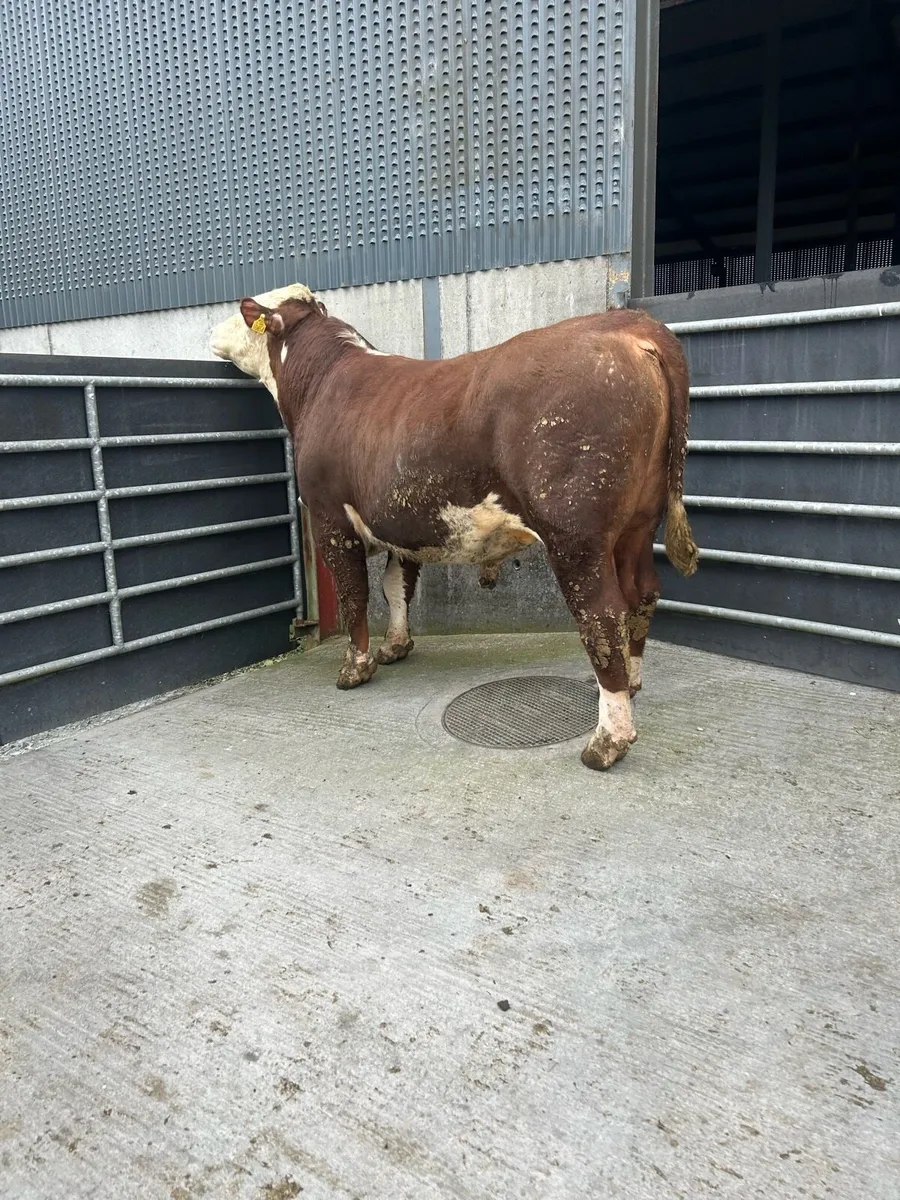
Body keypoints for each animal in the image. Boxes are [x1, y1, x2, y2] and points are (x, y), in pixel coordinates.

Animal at [210, 288, 698, 770]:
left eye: (242, 313)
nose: (212, 332)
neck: (319, 381)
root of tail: (627, 324)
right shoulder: (402, 521)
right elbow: (396, 586)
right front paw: (396, 645)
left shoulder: (330, 518)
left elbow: (354, 595)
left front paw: (355, 667)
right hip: (638, 525)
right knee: (641, 594)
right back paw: (632, 683)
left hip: (576, 533)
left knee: (602, 615)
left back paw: (608, 740)